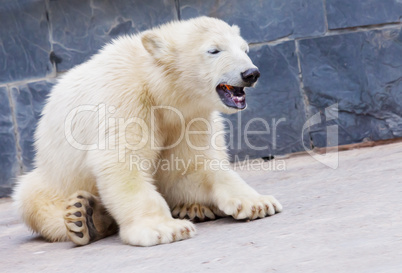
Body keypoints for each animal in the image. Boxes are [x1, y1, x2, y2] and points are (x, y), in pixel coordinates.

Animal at [13, 17, 282, 246]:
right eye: (214, 50)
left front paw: (258, 202)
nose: (251, 73)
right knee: (31, 197)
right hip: (52, 177)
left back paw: (193, 208)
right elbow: (122, 161)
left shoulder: (190, 118)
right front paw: (165, 228)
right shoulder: (124, 99)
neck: (155, 86)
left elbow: (189, 168)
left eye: (244, 49)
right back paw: (83, 217)